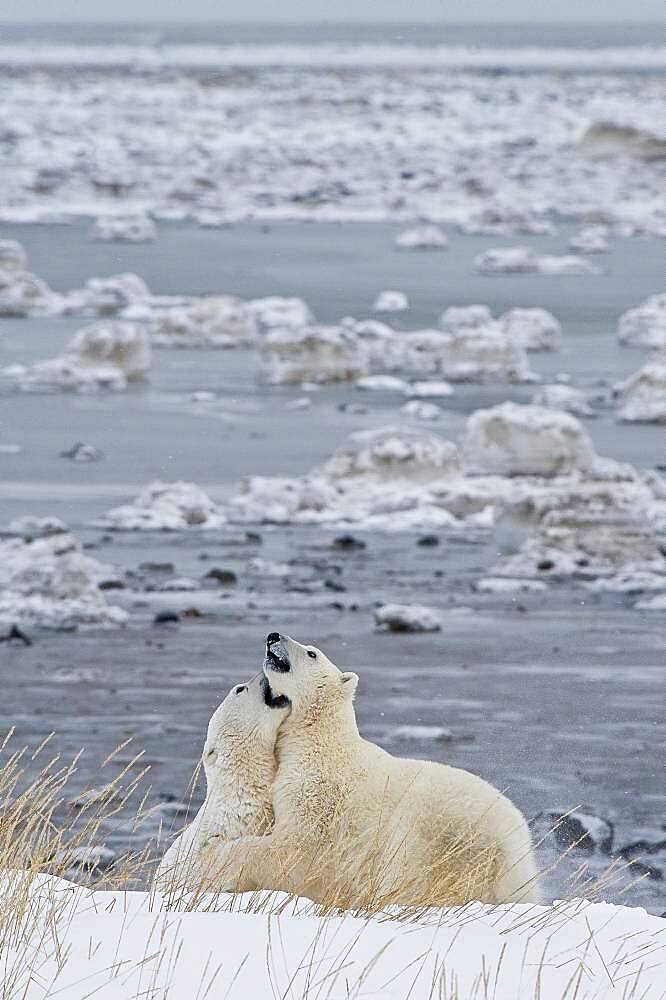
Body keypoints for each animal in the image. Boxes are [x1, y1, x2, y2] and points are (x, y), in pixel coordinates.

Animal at [213, 636, 540, 912]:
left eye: (311, 652)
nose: (273, 636)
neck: (319, 741)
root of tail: (517, 852)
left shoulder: (320, 798)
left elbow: (294, 847)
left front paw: (222, 856)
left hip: (439, 836)